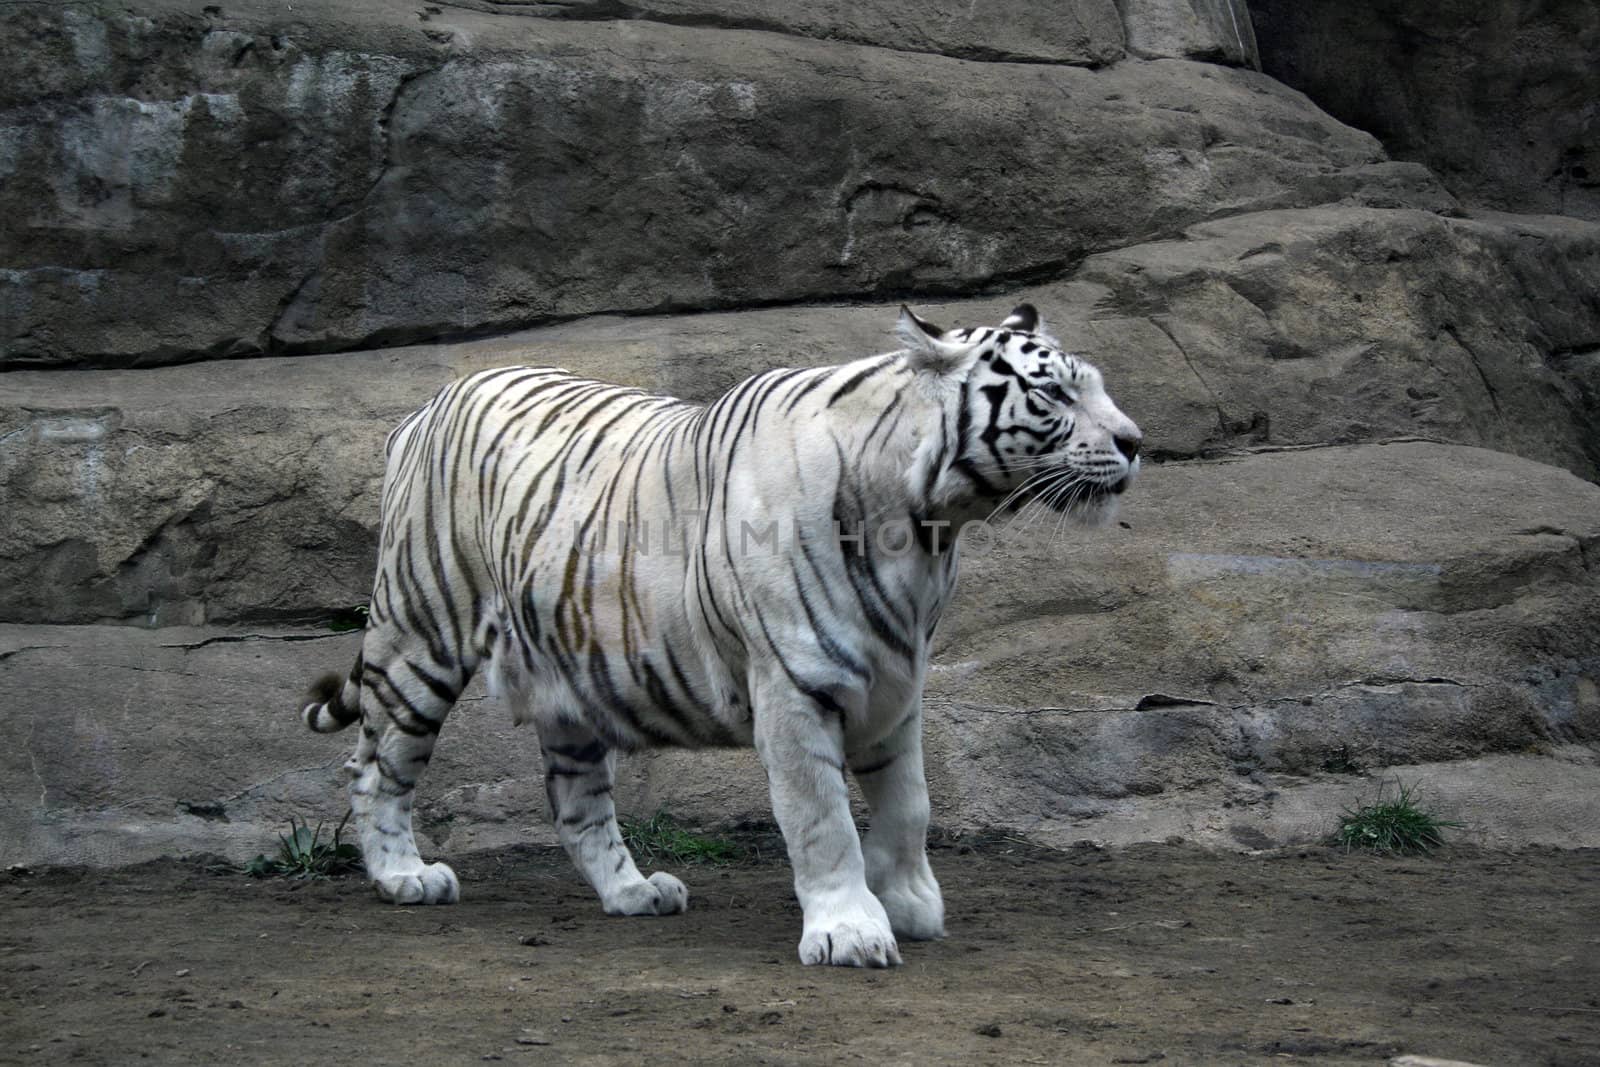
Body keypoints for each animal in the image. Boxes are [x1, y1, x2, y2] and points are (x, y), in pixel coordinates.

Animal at [300, 307, 1145, 966]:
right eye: (1055, 391)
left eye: (1095, 385)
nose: (1136, 441)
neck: (929, 526)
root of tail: (426, 407)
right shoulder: (795, 686)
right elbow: (822, 818)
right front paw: (850, 929)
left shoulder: (896, 681)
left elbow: (910, 803)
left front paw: (906, 901)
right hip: (421, 636)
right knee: (374, 768)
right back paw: (405, 876)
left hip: (571, 674)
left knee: (577, 801)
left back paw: (633, 890)